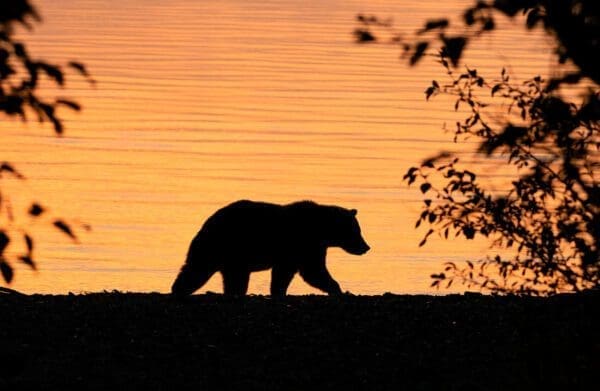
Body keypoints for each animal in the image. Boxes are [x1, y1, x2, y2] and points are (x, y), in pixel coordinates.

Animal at [169, 201, 372, 296]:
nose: (366, 247)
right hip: (228, 247)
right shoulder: (303, 244)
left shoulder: (305, 249)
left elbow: (293, 272)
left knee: (199, 270)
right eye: (356, 231)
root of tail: (206, 223)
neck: (322, 230)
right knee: (202, 269)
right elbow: (312, 271)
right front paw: (337, 289)